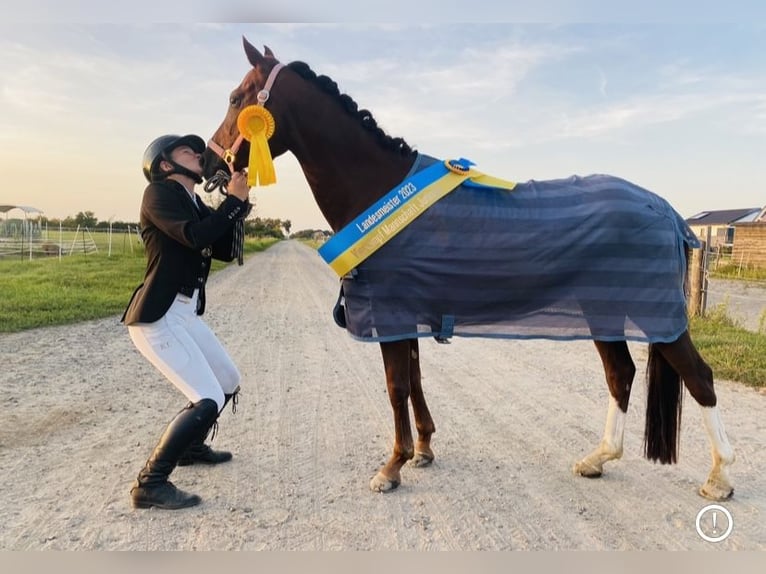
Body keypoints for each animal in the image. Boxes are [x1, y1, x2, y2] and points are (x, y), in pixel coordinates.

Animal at [204, 38, 736, 502]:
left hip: (653, 314)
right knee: (620, 375)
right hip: (602, 308)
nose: (211, 162)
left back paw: (719, 478)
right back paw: (597, 459)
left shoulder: (389, 312)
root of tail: (664, 208)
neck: (381, 190)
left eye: (235, 98)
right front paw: (423, 449)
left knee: (699, 377)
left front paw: (391, 467)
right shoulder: (406, 314)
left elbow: (397, 386)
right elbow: (416, 378)